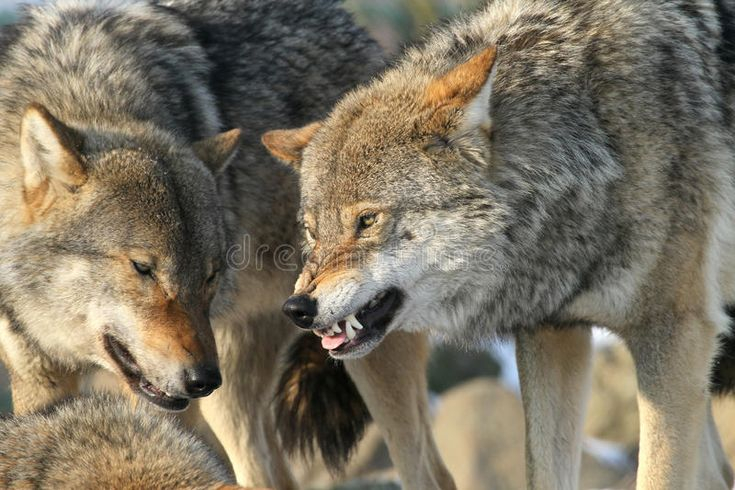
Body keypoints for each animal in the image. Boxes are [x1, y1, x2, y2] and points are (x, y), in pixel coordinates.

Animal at [264, 0, 735, 488]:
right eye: (312, 230)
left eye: (367, 220)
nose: (297, 308)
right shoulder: (552, 330)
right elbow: (542, 471)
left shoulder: (674, 333)